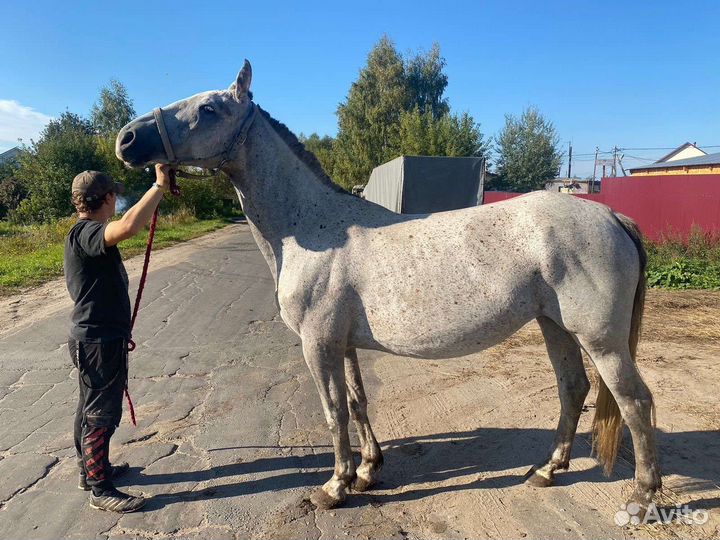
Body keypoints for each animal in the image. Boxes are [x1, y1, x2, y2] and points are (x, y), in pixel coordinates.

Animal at [115, 61, 661, 511]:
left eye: (208, 108)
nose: (127, 139)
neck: (312, 228)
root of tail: (611, 216)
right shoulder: (343, 344)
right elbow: (357, 402)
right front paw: (367, 470)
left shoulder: (318, 345)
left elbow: (334, 411)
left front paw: (335, 487)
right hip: (555, 326)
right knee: (573, 389)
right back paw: (547, 471)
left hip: (601, 340)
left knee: (634, 401)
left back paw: (643, 493)